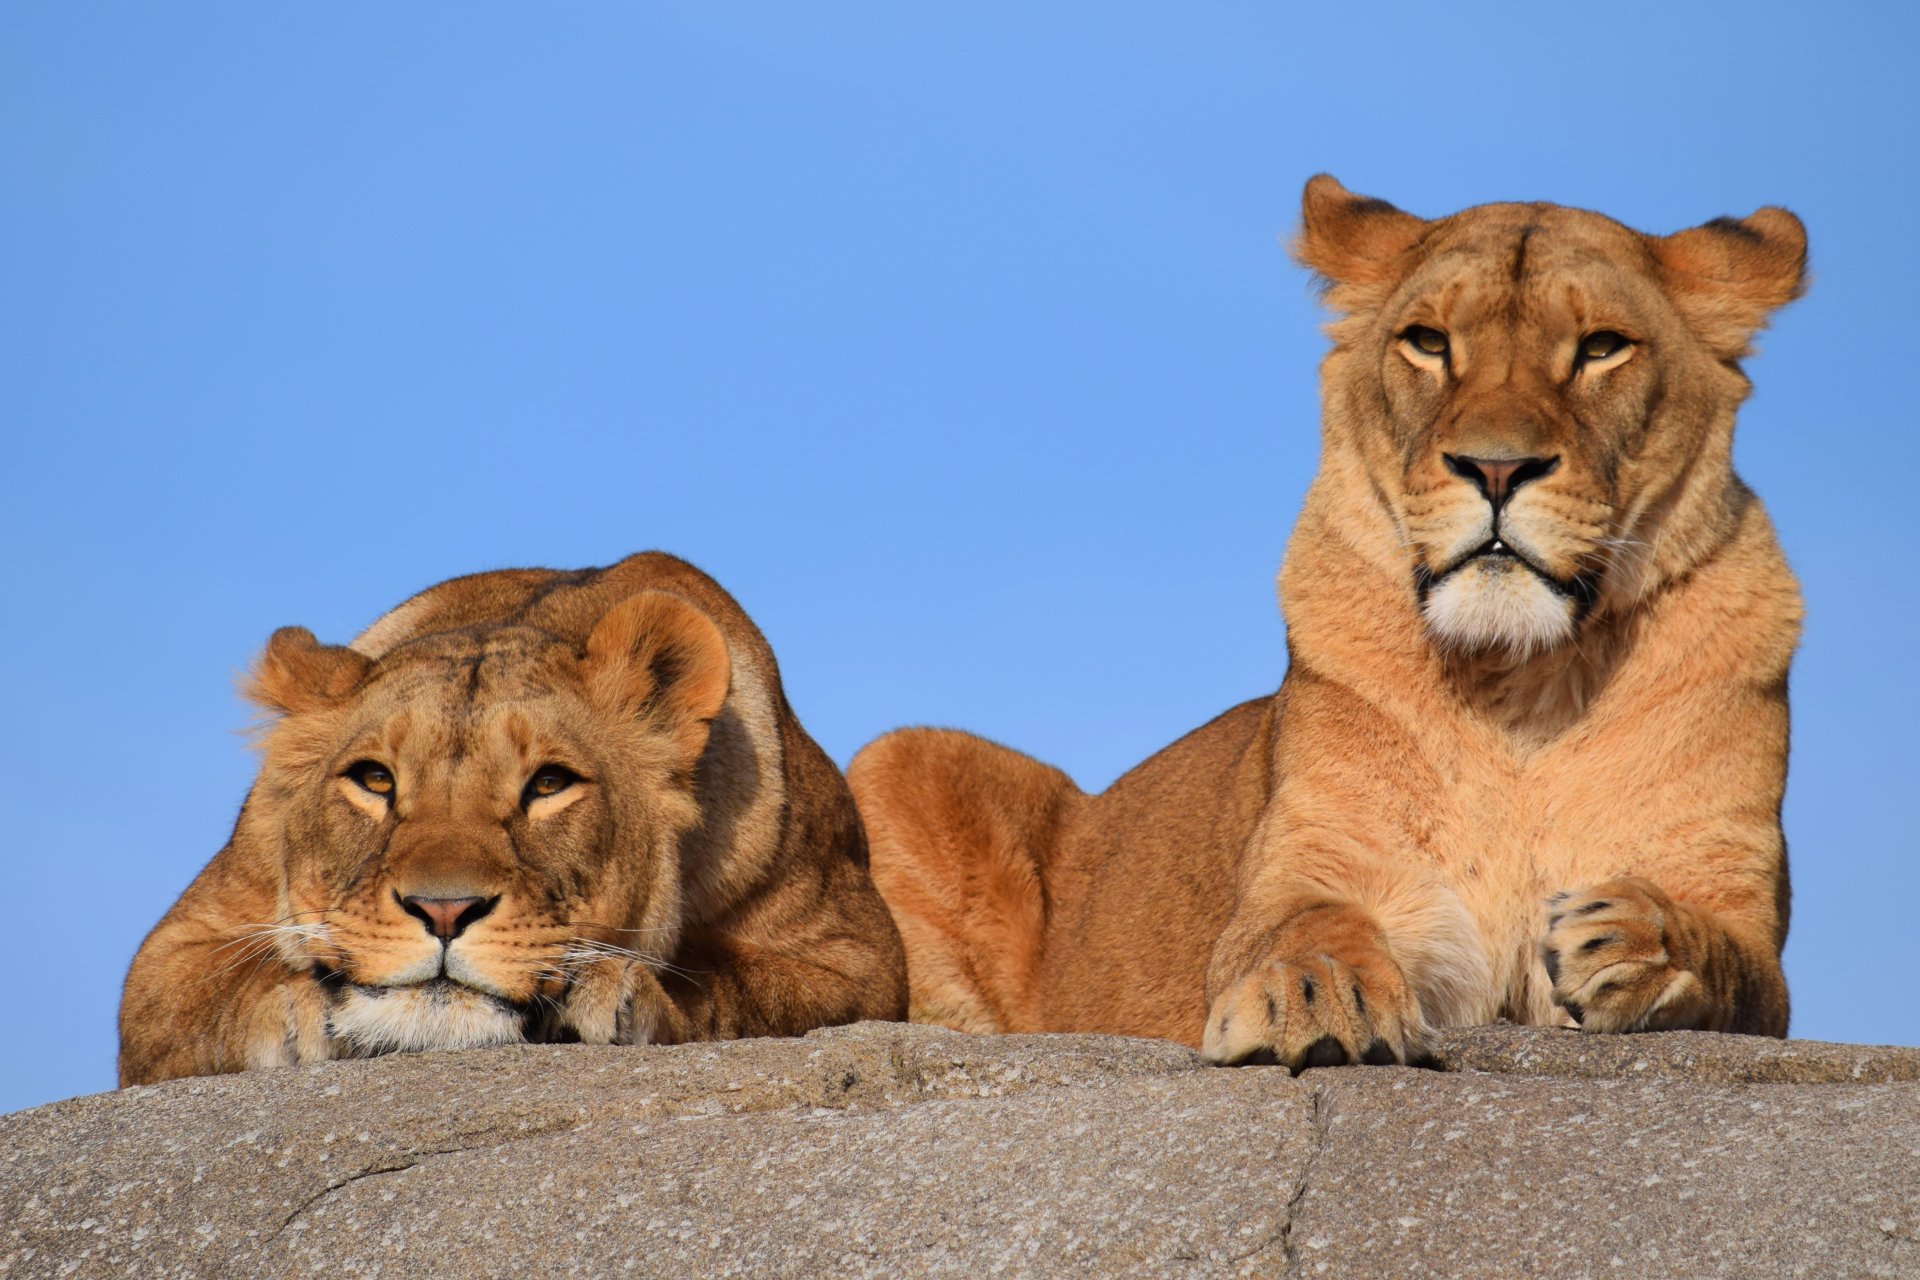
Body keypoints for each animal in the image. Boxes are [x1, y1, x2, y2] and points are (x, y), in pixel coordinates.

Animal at [120, 552, 907, 1086]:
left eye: (550, 783)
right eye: (375, 779)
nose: (443, 910)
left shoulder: (862, 960)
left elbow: (734, 982)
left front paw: (618, 994)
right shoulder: (171, 953)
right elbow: (222, 994)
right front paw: (305, 1009)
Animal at [850, 176, 1806, 1070]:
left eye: (1602, 347)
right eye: (1428, 342)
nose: (1496, 469)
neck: (1519, 683)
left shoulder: (1734, 898)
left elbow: (1734, 961)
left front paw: (1640, 943)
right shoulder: (1316, 864)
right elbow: (1306, 924)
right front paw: (1311, 996)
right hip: (903, 758)